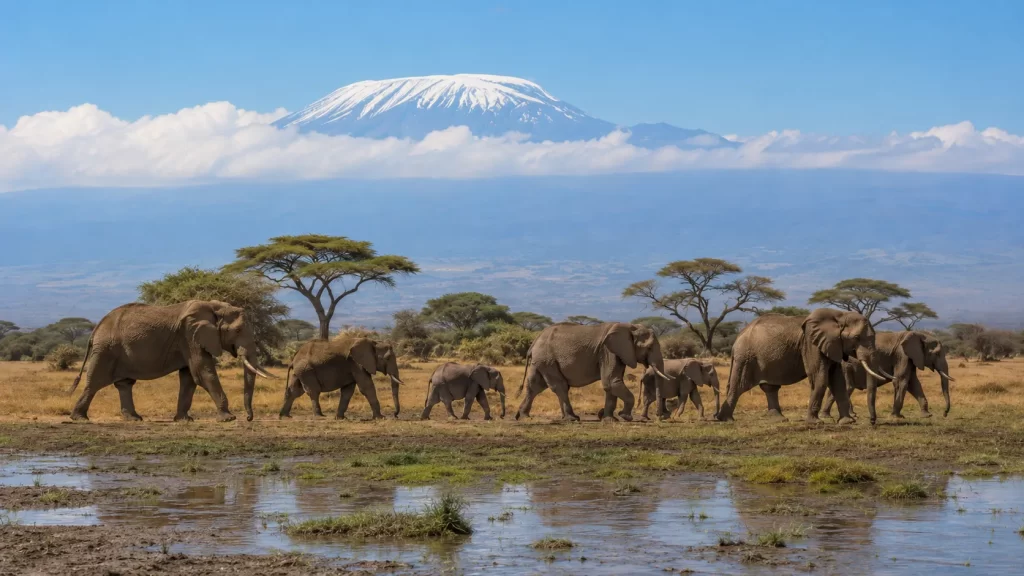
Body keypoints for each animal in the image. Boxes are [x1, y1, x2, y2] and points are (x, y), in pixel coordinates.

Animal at [68, 300, 275, 422]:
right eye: (238, 331)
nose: (249, 418)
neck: (215, 307)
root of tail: (95, 329)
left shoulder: (190, 340)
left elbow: (189, 377)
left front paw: (184, 420)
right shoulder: (190, 336)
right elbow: (202, 373)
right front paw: (228, 418)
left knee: (124, 384)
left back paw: (134, 419)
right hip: (106, 350)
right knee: (95, 382)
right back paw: (80, 419)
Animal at [515, 322, 669, 422]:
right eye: (649, 347)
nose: (660, 417)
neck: (629, 327)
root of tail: (535, 341)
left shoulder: (617, 354)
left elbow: (611, 384)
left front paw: (609, 418)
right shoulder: (608, 352)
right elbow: (611, 382)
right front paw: (624, 416)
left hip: (542, 360)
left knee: (535, 386)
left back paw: (523, 416)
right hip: (547, 359)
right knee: (559, 386)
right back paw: (572, 418)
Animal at [715, 308, 892, 423]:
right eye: (856, 338)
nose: (872, 422)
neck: (839, 316)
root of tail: (739, 336)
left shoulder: (832, 345)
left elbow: (838, 381)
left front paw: (846, 422)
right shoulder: (811, 344)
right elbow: (819, 377)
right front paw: (815, 423)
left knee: (770, 387)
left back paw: (778, 419)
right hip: (746, 357)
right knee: (739, 386)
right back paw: (726, 420)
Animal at [820, 330, 953, 424]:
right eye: (937, 354)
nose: (945, 414)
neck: (920, 334)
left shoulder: (910, 358)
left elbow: (913, 383)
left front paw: (927, 415)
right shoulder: (902, 355)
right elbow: (902, 380)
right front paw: (897, 417)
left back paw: (828, 416)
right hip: (846, 366)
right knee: (848, 387)